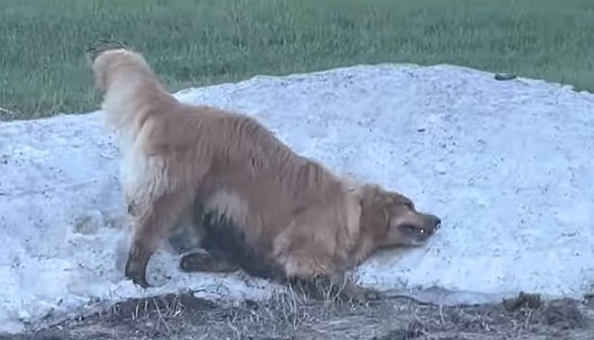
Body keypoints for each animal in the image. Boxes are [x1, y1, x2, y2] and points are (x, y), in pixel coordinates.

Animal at [88, 43, 440, 302]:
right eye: (408, 204)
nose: (437, 220)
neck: (353, 214)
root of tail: (176, 107)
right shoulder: (302, 247)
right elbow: (330, 273)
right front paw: (357, 291)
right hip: (174, 193)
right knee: (146, 237)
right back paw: (140, 280)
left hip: (218, 200)